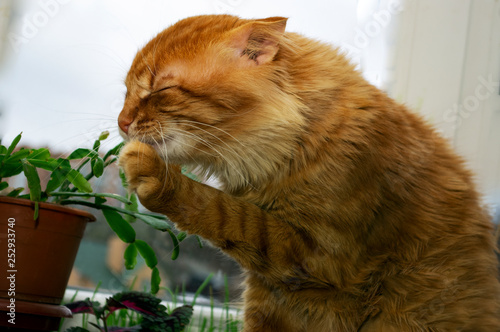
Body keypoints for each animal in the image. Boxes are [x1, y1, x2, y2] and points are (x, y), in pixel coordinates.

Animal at [118, 15, 500, 332]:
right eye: (126, 92)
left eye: (160, 90)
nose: (122, 123)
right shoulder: (269, 296)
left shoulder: (319, 252)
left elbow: (224, 211)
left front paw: (152, 171)